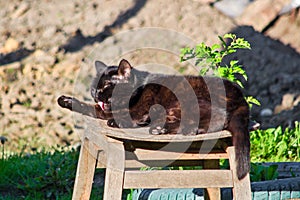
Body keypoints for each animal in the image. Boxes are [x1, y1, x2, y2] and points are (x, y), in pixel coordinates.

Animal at [58, 58, 251, 179]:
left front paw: (114, 121)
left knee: (218, 118)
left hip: (185, 101)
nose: (96, 95)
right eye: (93, 88)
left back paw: (188, 130)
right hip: (174, 109)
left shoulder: (141, 108)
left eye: (106, 87)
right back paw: (161, 129)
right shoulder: (103, 110)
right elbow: (89, 108)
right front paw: (65, 100)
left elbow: (128, 116)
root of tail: (240, 95)